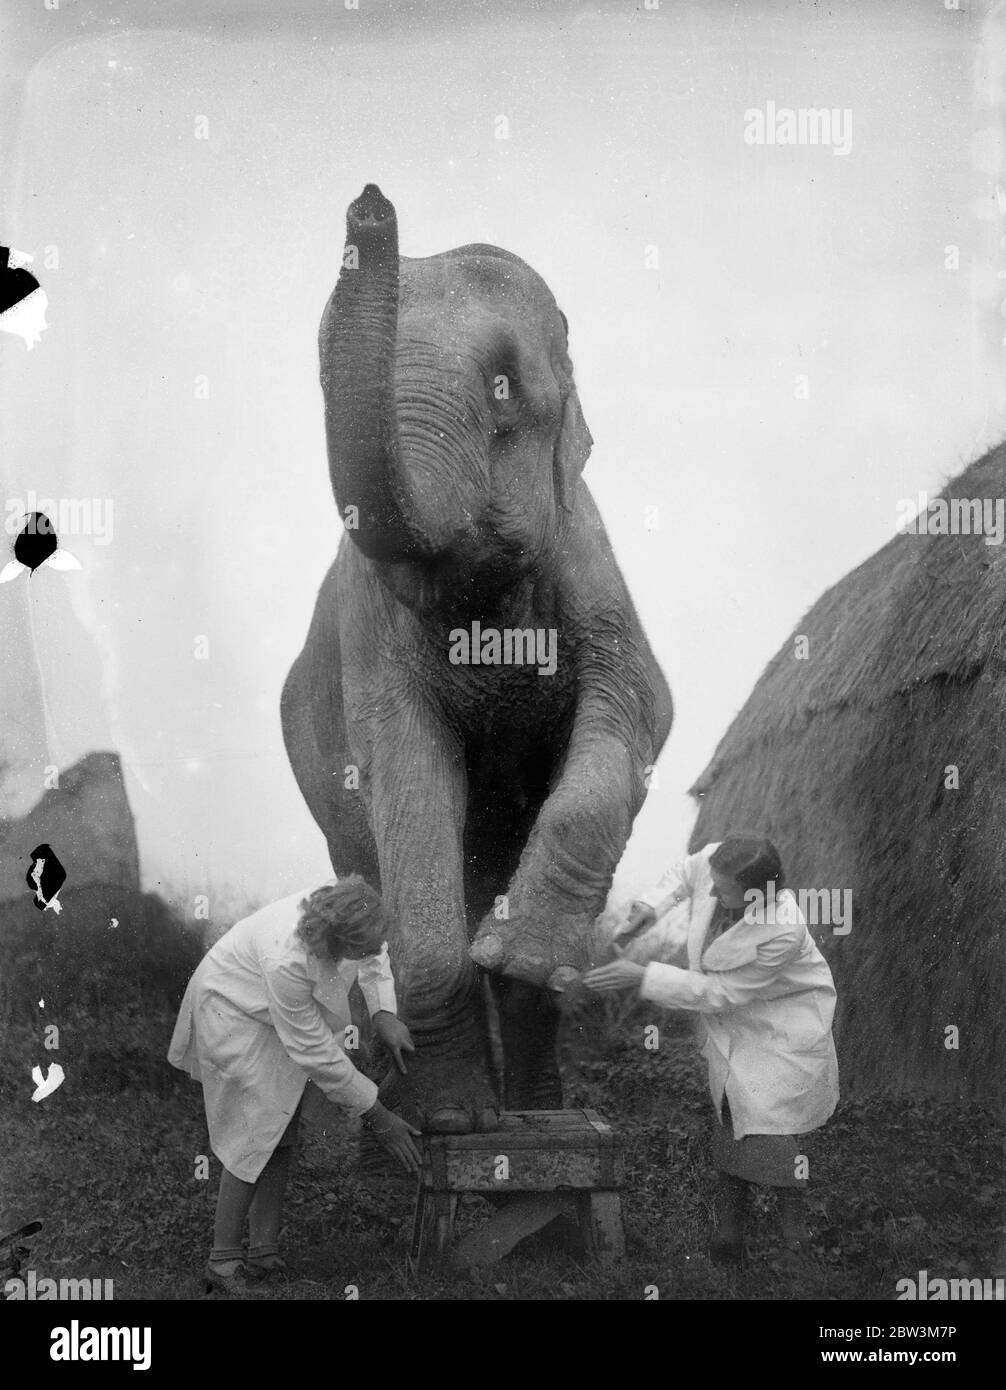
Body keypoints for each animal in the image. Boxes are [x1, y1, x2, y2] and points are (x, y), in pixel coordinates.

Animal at [279, 184, 672, 1134]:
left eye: (501, 388)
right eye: (320, 382)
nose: (371, 203)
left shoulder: (589, 560)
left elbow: (639, 709)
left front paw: (517, 957)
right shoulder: (371, 629)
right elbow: (406, 773)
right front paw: (453, 1123)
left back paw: (536, 1111)